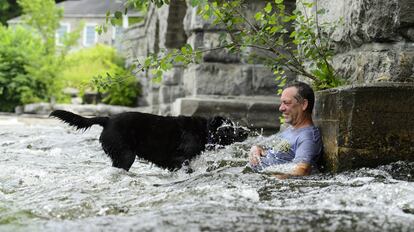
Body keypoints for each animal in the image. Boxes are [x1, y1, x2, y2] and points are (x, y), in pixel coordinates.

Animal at [49, 109, 249, 171]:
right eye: (229, 128)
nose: (246, 132)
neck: (203, 131)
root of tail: (107, 119)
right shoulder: (179, 159)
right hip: (126, 156)